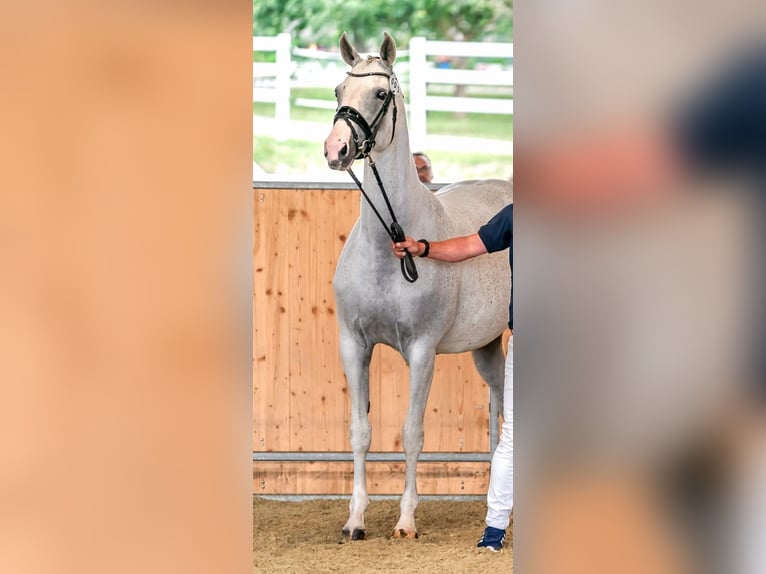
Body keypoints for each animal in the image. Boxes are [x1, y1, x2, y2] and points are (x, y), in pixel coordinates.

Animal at [323, 31, 512, 542]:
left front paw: (406, 520)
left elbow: (411, 433)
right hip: (487, 346)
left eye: (380, 93)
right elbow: (360, 432)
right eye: (338, 90)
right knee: (498, 411)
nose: (336, 149)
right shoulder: (352, 344)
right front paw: (355, 519)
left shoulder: (422, 351)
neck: (389, 244)